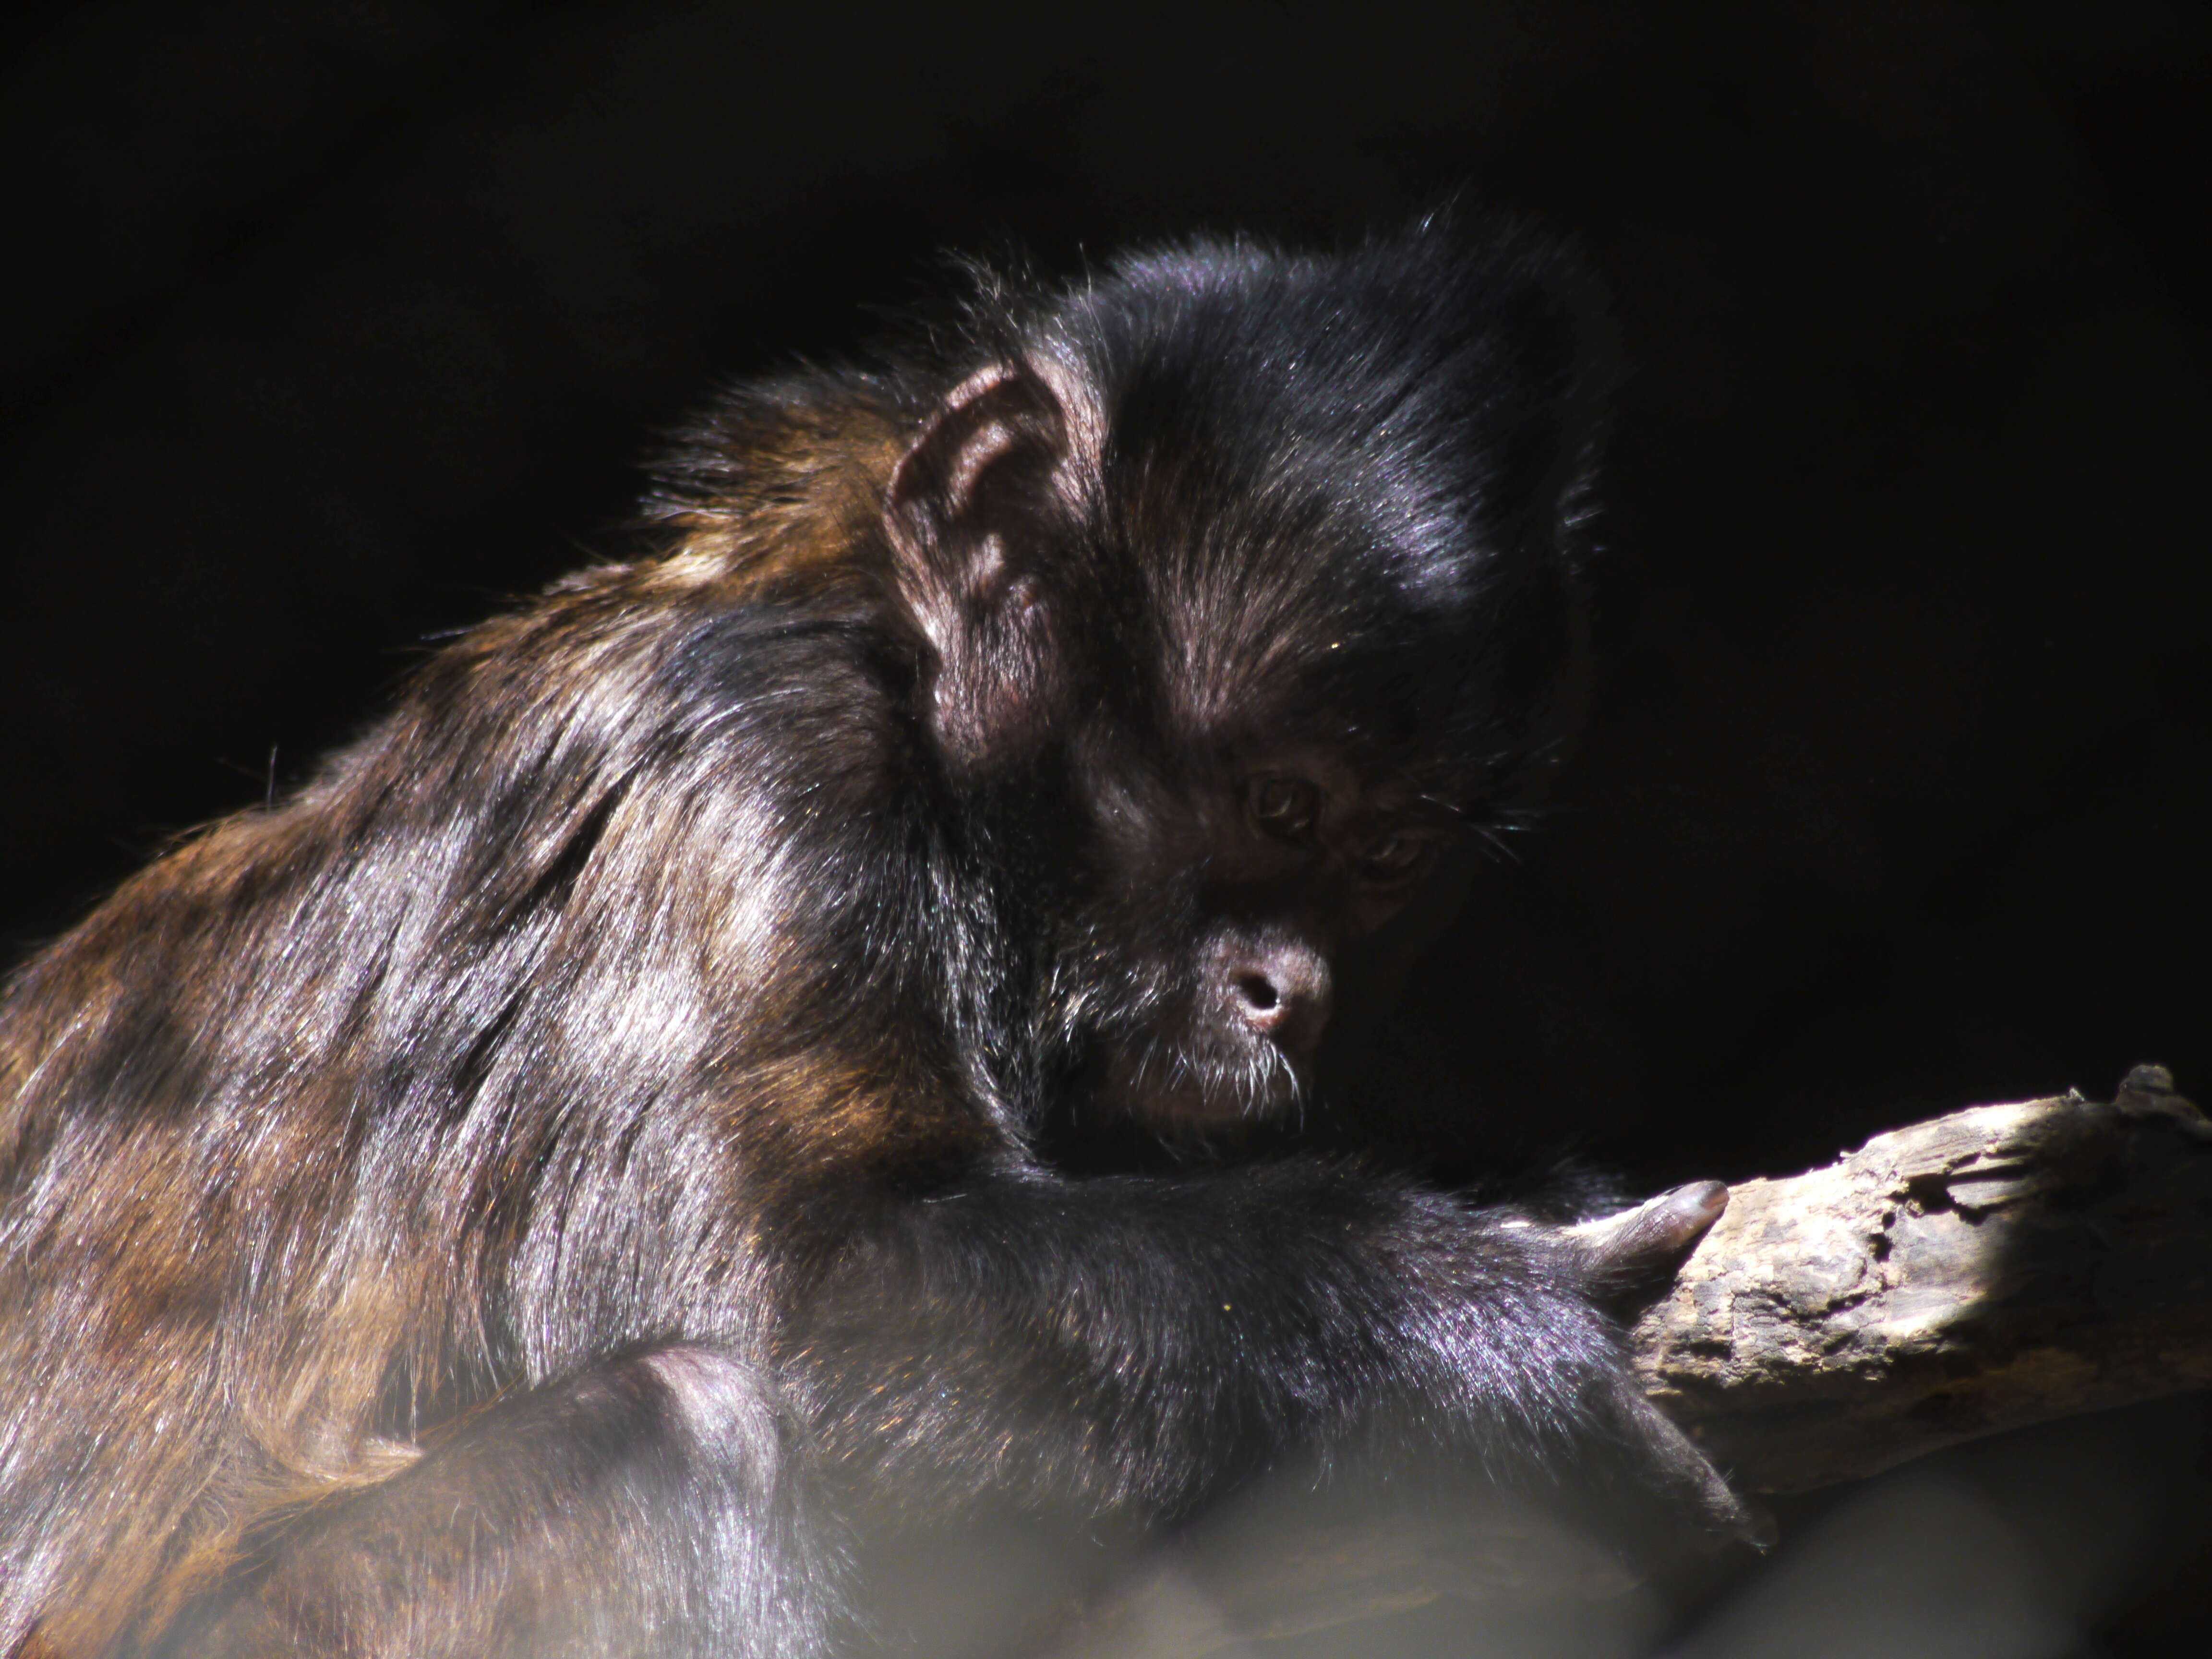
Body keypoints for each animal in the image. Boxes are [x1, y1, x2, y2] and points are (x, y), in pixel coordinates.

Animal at [9, 224, 1752, 1659]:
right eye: (1283, 808)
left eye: (1387, 861)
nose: (1292, 993)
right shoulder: (763, 756)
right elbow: (785, 1308)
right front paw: (1459, 1318)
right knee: (671, 1423)